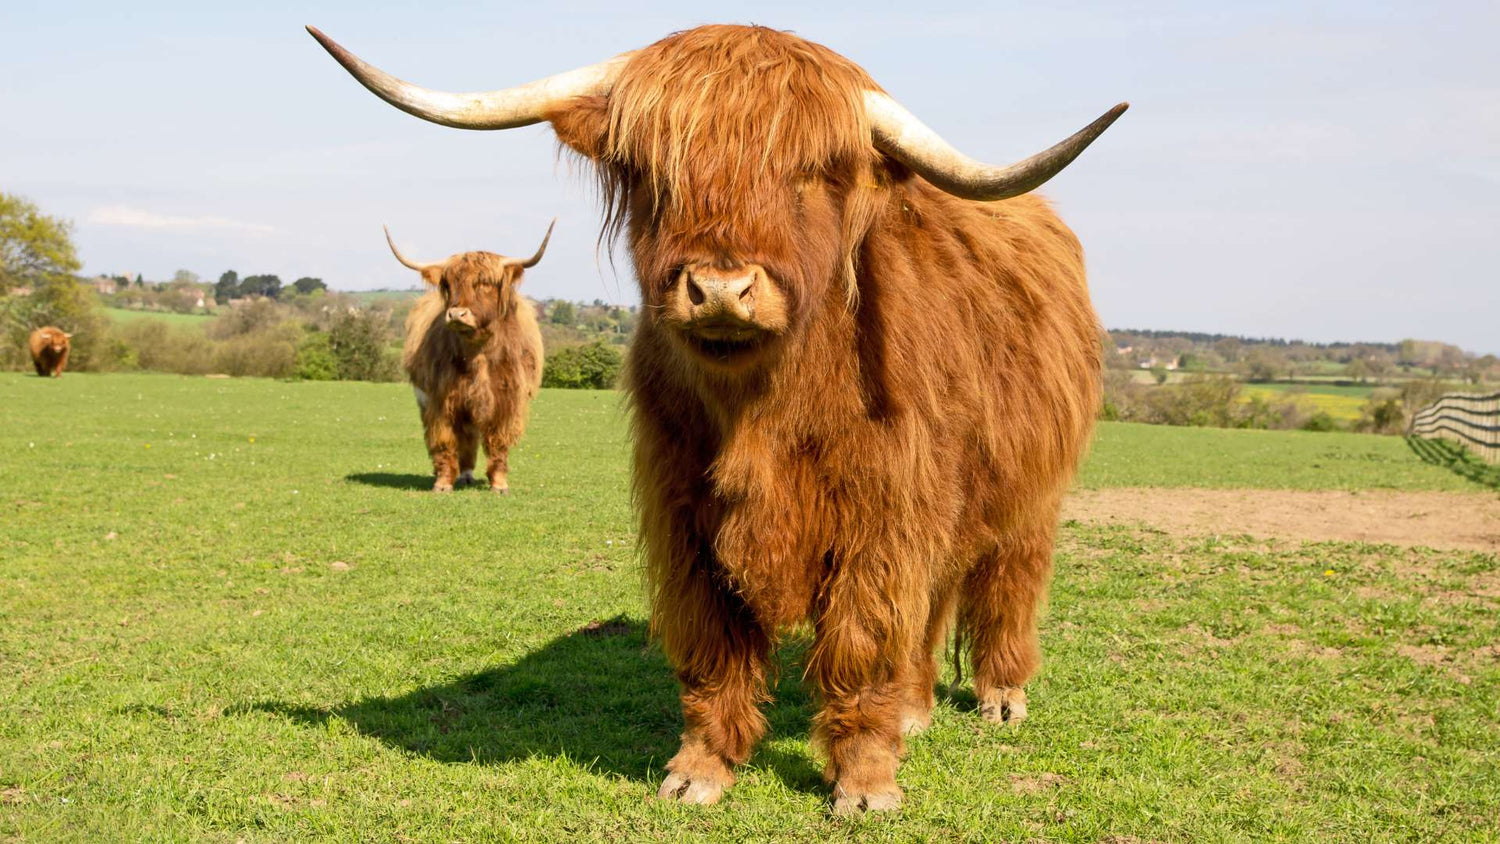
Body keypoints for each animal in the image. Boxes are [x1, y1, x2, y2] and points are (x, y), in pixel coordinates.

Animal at [386, 222, 552, 493]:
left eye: (485, 283)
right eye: (449, 283)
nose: (456, 314)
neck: (479, 354)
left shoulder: (506, 401)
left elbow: (498, 443)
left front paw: (499, 484)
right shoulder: (441, 402)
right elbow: (444, 442)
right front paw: (443, 483)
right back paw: (459, 474)